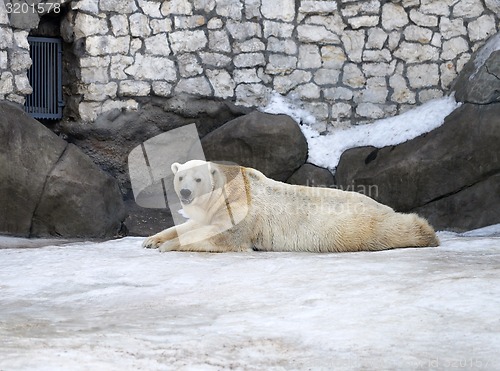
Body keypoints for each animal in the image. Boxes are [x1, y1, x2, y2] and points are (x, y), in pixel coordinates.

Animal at [143, 160, 440, 253]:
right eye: (180, 177)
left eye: (198, 178)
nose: (185, 193)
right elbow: (192, 224)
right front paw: (152, 240)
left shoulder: (242, 211)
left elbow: (225, 236)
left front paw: (168, 246)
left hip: (355, 225)